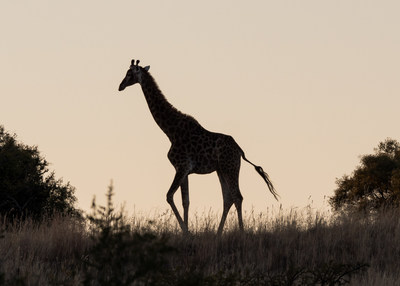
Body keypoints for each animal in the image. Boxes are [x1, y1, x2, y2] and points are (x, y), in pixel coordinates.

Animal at [117, 59, 276, 233]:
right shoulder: (184, 170)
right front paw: (187, 231)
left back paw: (240, 232)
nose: (120, 86)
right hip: (221, 170)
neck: (170, 130)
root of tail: (240, 150)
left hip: (230, 168)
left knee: (237, 196)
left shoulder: (182, 166)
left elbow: (169, 196)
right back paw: (218, 233)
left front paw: (185, 231)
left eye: (129, 73)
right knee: (228, 198)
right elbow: (185, 201)